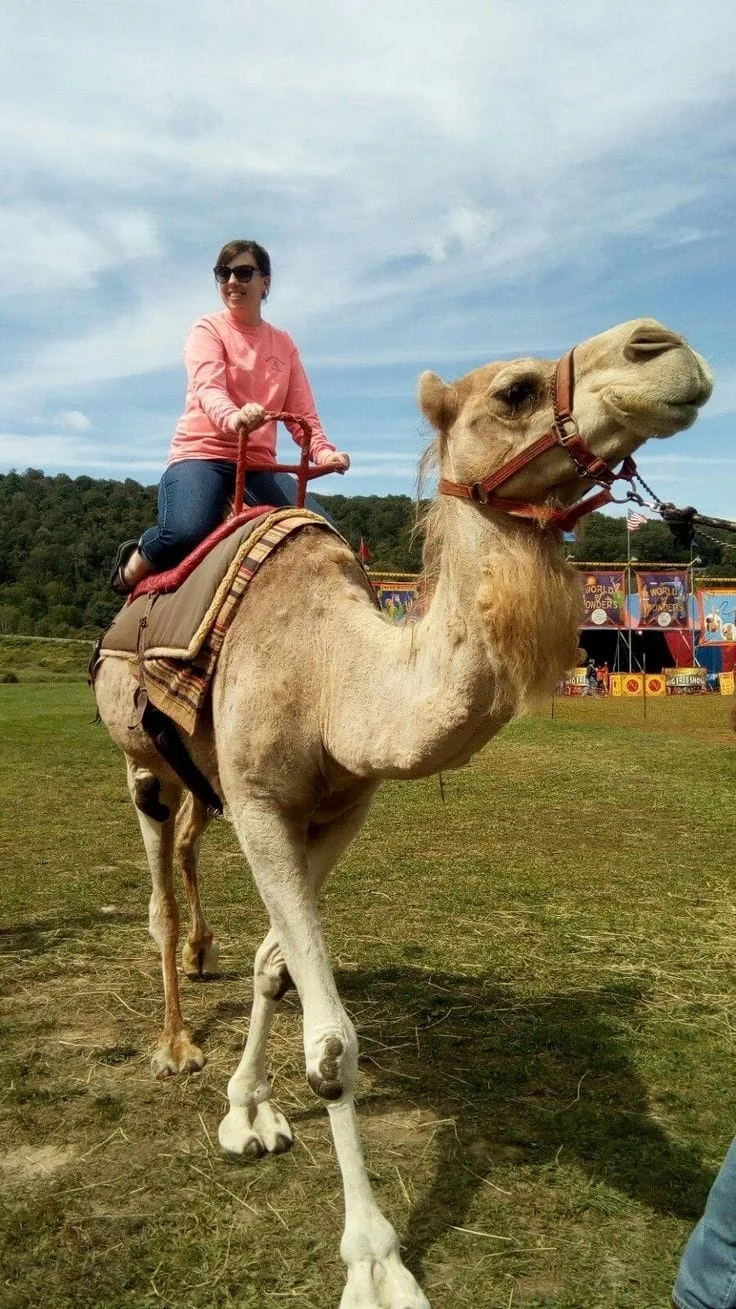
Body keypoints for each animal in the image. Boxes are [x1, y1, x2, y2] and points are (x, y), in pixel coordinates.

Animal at [93, 317, 712, 1308]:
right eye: (514, 390)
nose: (664, 347)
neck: (331, 672)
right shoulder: (263, 801)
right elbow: (333, 1040)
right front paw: (376, 1260)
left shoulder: (341, 806)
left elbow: (277, 967)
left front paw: (251, 1108)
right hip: (140, 762)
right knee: (156, 886)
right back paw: (176, 1041)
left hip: (200, 781)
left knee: (191, 847)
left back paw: (203, 956)